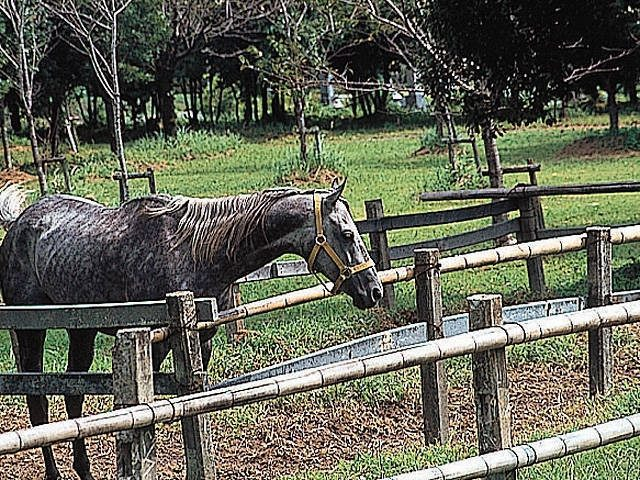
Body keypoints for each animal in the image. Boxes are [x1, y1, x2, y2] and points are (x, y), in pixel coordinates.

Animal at [0, 180, 383, 480]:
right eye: (347, 234)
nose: (374, 289)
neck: (195, 251)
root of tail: (17, 224)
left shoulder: (201, 339)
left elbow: (194, 402)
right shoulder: (155, 345)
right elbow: (147, 414)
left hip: (81, 330)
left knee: (72, 395)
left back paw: (84, 470)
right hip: (32, 331)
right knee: (38, 400)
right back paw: (54, 472)